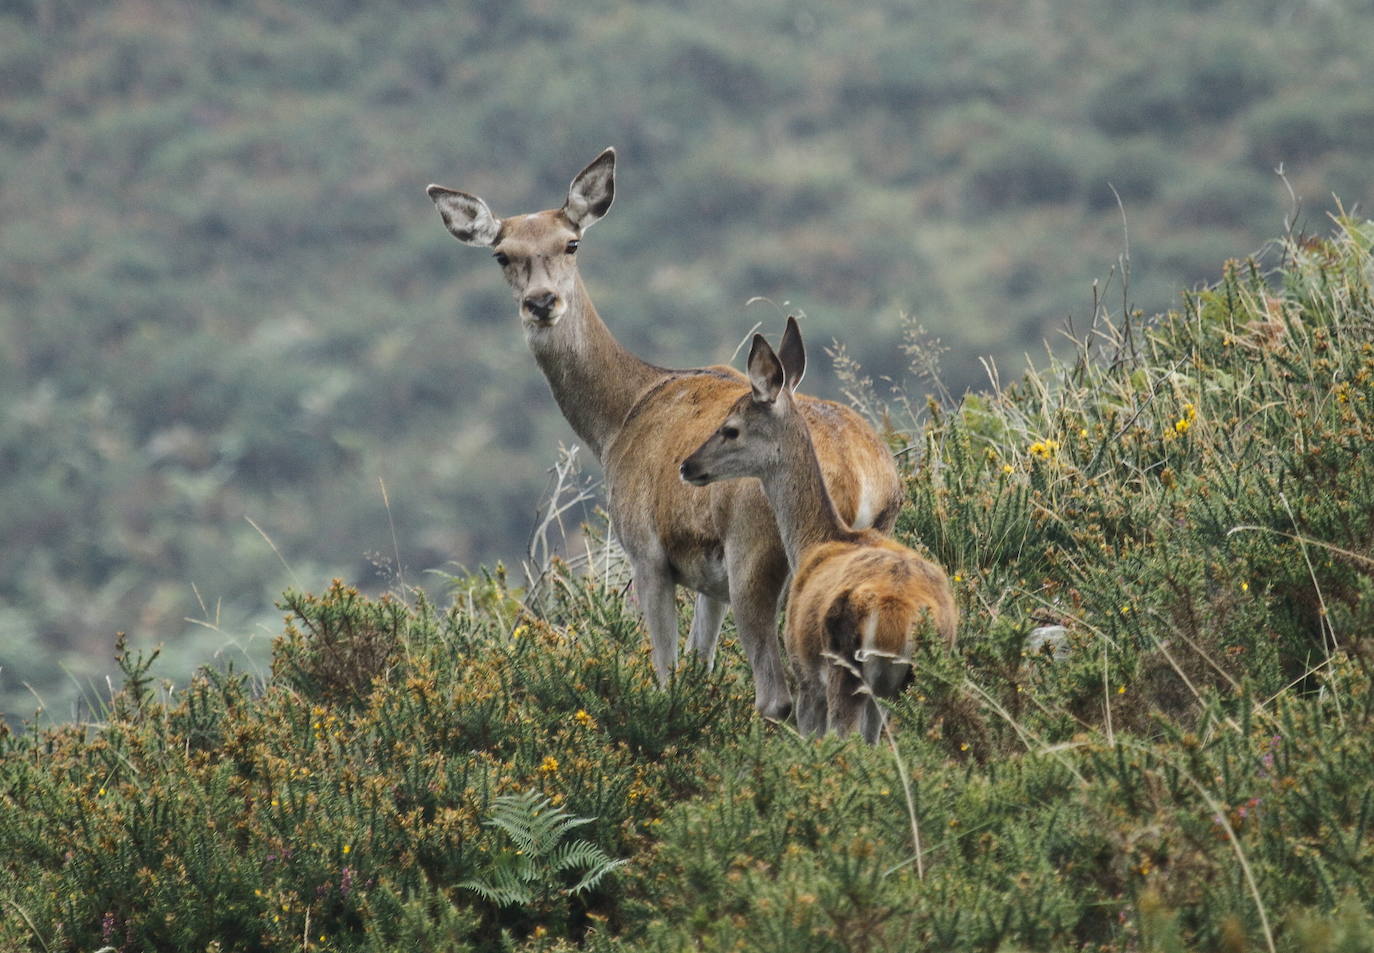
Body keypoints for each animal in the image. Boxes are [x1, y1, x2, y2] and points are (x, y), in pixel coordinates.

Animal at [428, 149, 901, 719]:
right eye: (501, 254)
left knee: (777, 696)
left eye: (571, 242)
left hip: (755, 557)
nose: (542, 302)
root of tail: (863, 477)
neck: (617, 421)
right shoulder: (709, 584)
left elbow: (666, 672)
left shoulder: (647, 553)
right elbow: (701, 662)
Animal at [678, 317, 956, 741]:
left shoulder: (804, 669)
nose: (688, 465)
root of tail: (897, 619)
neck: (816, 540)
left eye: (730, 428)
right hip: (923, 676)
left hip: (845, 666)